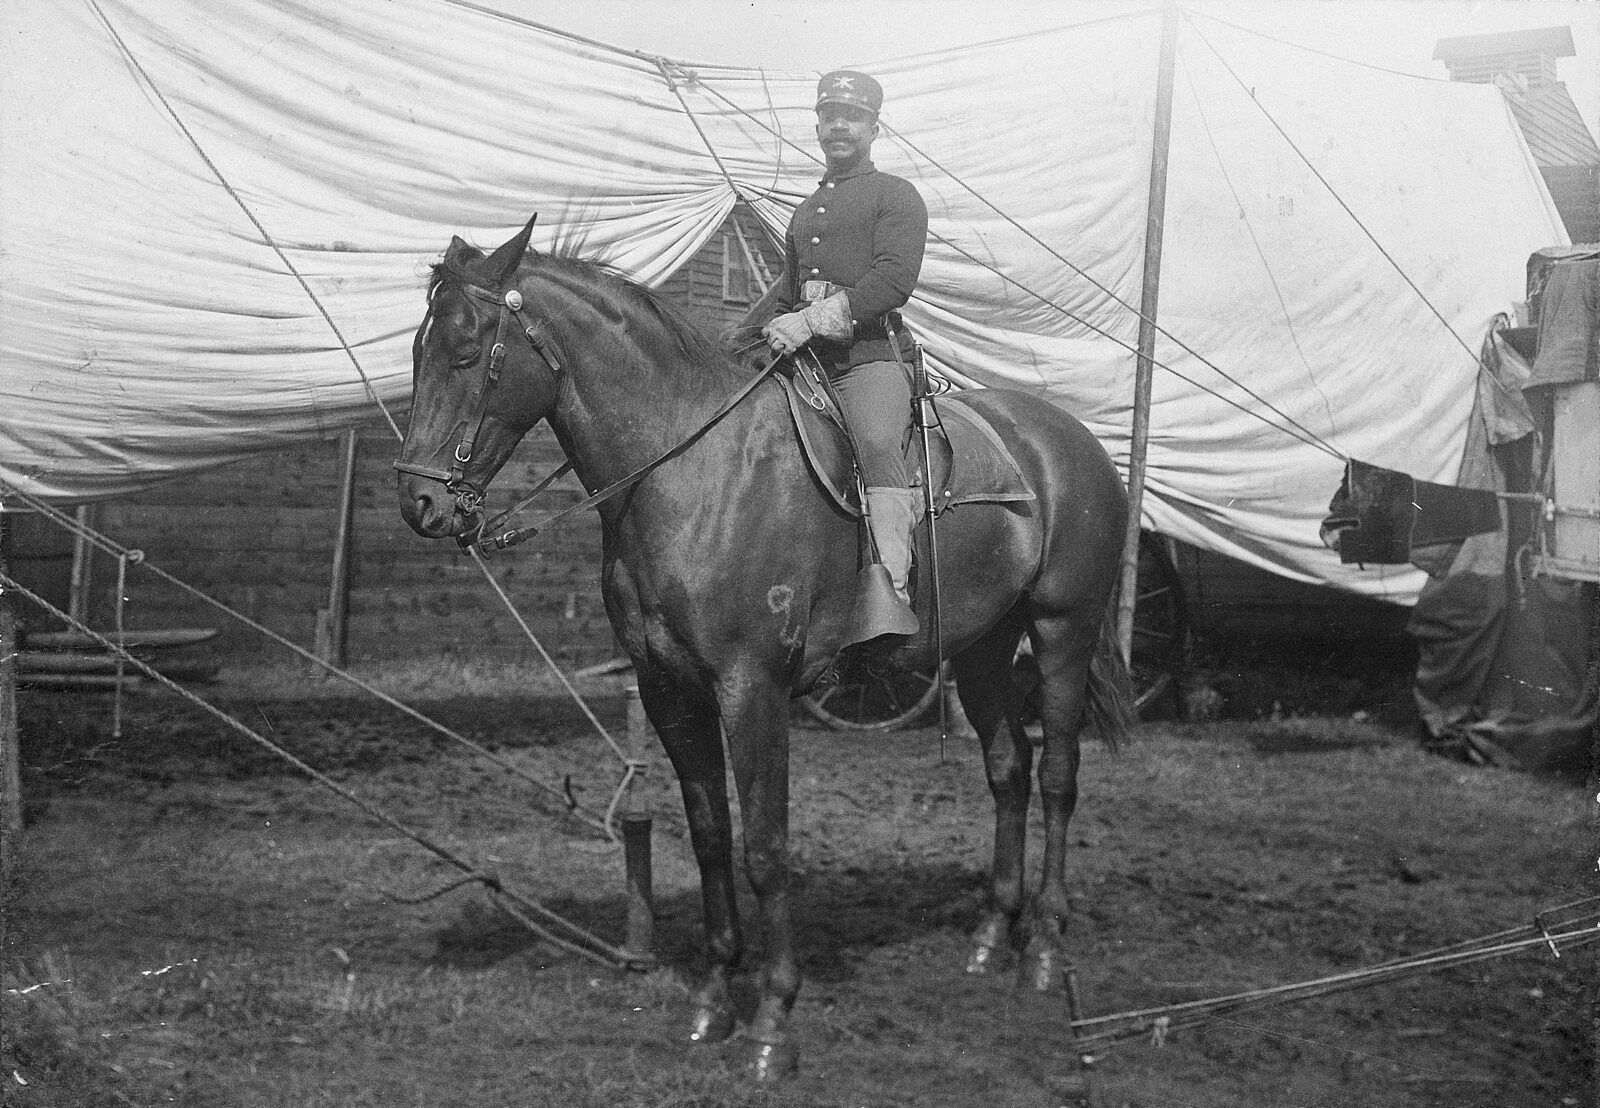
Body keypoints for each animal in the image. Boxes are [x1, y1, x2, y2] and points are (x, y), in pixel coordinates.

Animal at [396, 218, 1133, 1079]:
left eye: (467, 351)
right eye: (418, 348)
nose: (420, 503)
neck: (691, 471)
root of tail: (1070, 442)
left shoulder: (754, 688)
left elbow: (766, 847)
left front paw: (775, 1020)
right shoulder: (669, 689)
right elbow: (711, 837)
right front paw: (715, 999)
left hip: (1061, 632)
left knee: (1056, 778)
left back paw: (1045, 950)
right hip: (983, 647)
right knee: (1008, 769)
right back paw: (989, 938)